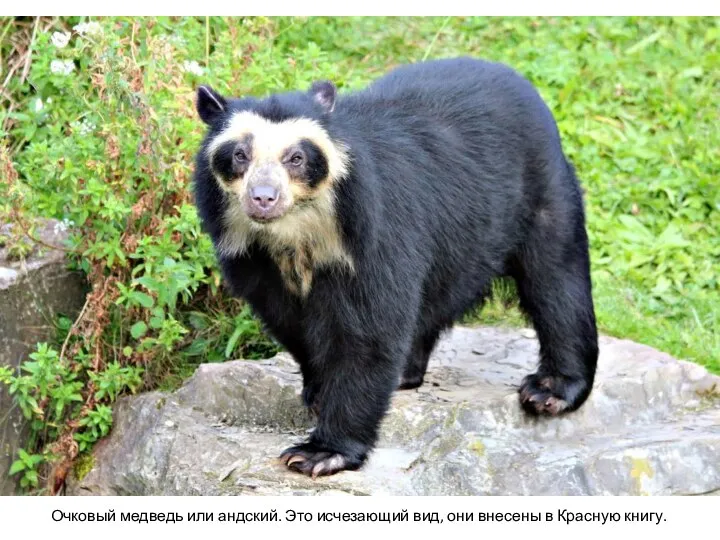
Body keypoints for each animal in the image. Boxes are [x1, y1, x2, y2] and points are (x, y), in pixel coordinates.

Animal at [190, 57, 596, 478]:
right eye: (240, 154)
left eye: (297, 157)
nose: (263, 198)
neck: (296, 235)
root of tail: (519, 80)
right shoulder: (252, 258)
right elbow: (291, 325)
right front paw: (318, 393)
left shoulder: (372, 233)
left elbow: (370, 332)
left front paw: (319, 453)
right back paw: (405, 373)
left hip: (543, 194)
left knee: (556, 281)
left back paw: (550, 390)